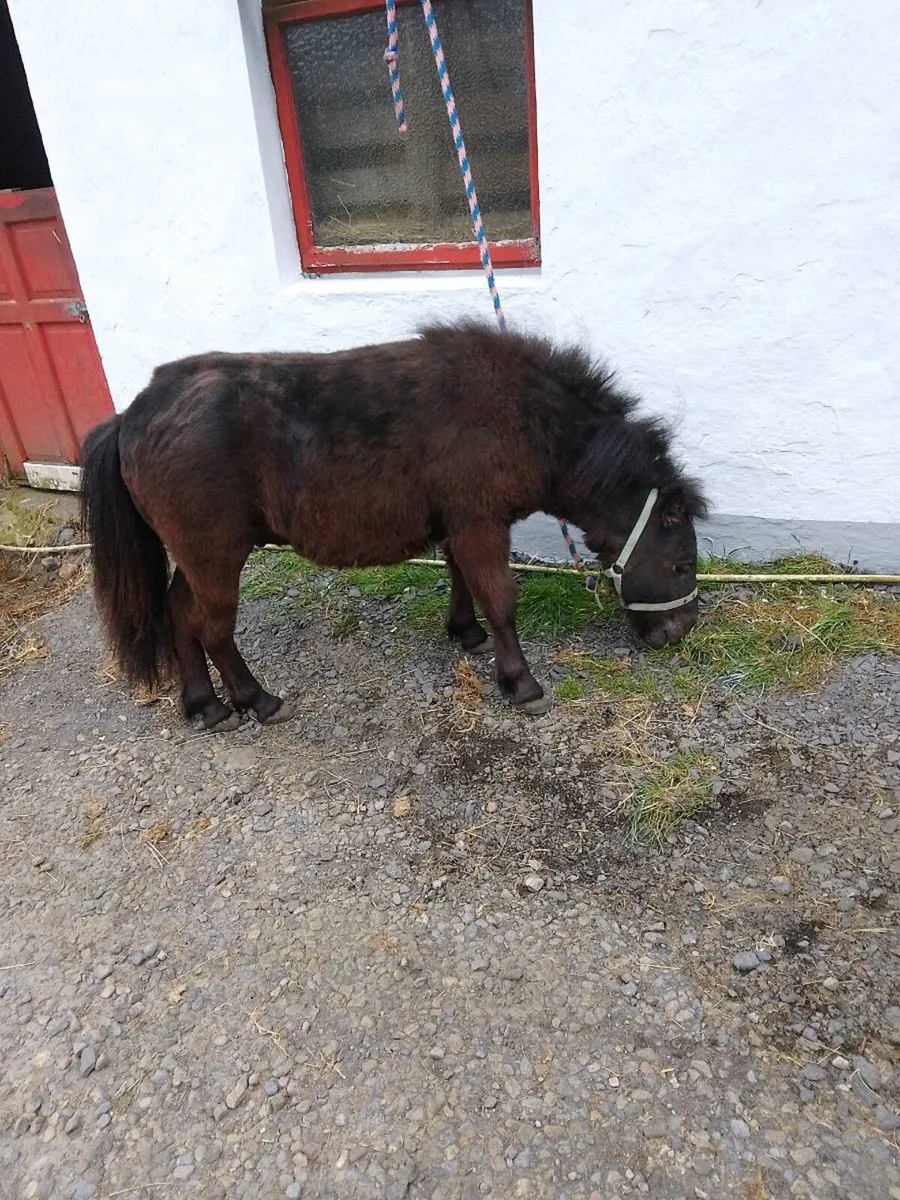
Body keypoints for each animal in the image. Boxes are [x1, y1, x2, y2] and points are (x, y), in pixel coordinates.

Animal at [80, 321, 708, 732]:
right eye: (681, 564)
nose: (680, 632)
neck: (517, 414)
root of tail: (132, 415)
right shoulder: (480, 523)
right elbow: (501, 600)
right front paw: (520, 682)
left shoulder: (459, 525)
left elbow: (461, 580)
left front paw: (465, 633)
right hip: (215, 555)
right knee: (212, 630)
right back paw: (256, 700)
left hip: (198, 556)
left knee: (179, 617)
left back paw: (205, 706)